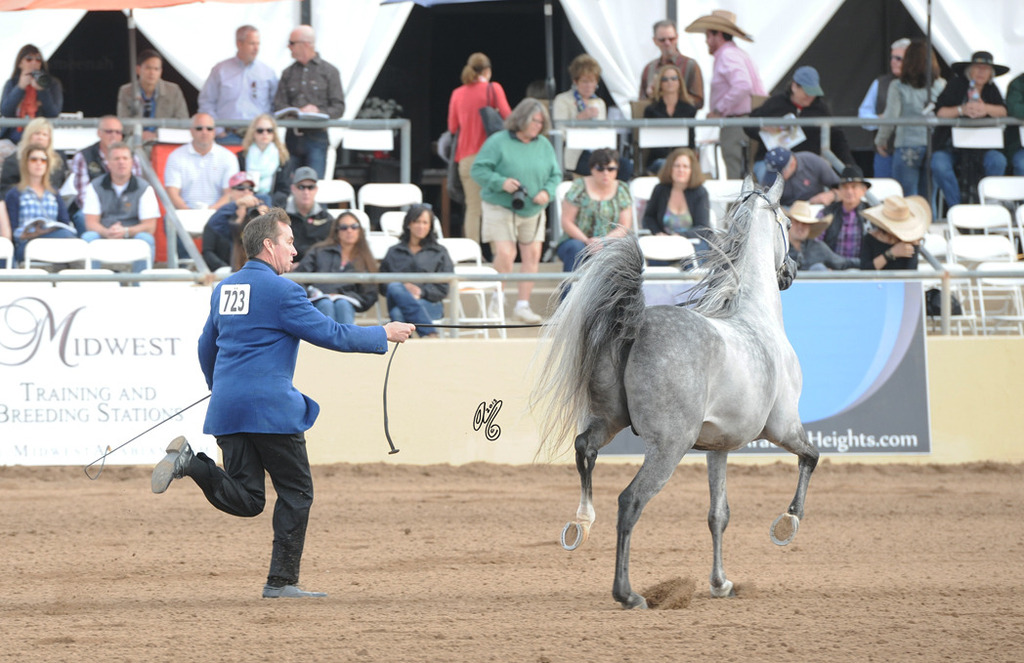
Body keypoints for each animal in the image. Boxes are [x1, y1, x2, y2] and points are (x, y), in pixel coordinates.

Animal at [531, 176, 818, 609]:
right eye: (786, 222)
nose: (790, 272)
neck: (756, 318)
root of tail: (634, 326)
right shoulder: (783, 428)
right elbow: (811, 457)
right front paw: (787, 524)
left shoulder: (719, 448)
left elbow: (719, 515)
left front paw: (720, 583)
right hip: (669, 446)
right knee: (629, 501)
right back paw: (628, 594)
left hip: (609, 421)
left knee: (585, 449)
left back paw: (581, 522)